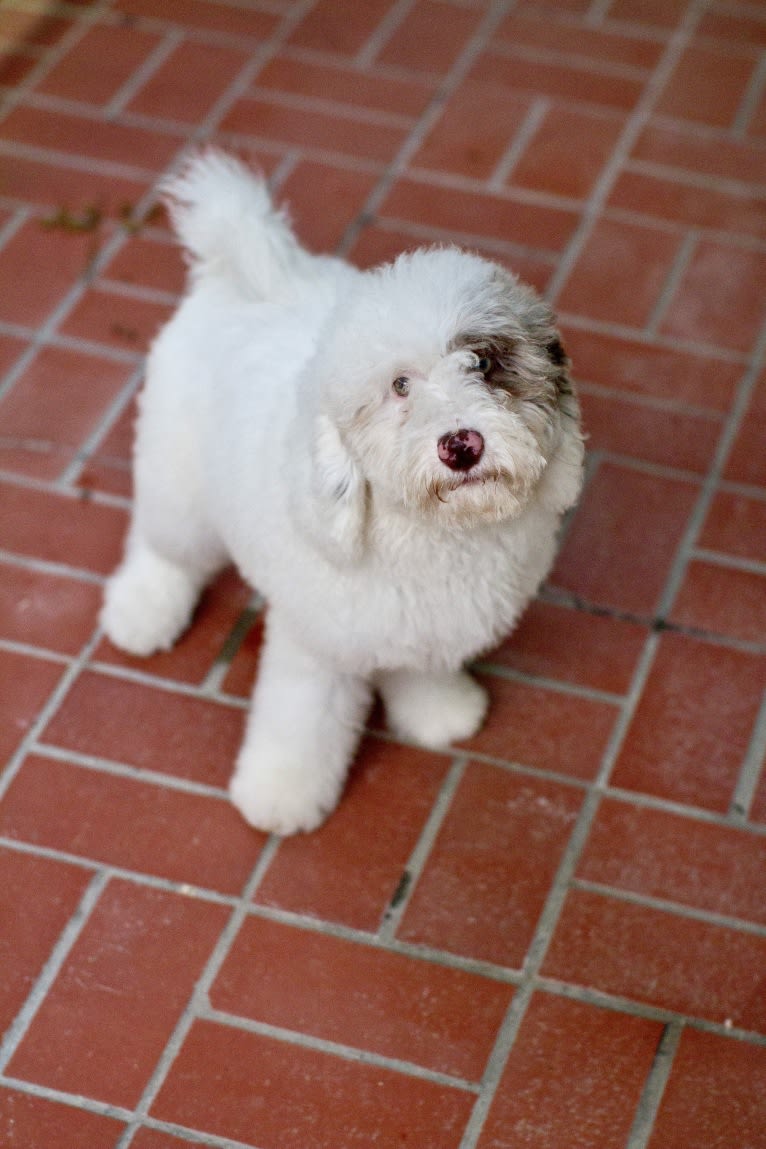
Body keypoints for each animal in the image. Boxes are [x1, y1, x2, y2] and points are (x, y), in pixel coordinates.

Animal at [100, 152, 581, 836]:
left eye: (484, 363)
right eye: (400, 386)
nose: (461, 445)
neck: (433, 537)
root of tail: (248, 268)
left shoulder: (430, 622)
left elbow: (423, 670)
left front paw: (438, 713)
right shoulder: (315, 647)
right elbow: (302, 725)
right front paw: (281, 794)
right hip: (181, 481)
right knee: (164, 544)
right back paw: (142, 609)